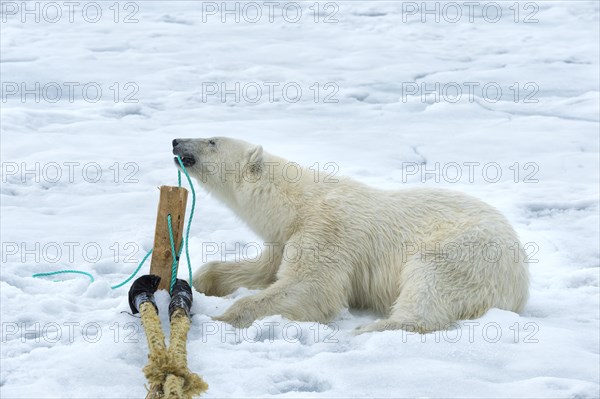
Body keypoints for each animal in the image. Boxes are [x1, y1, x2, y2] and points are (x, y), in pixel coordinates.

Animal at [171, 138, 528, 334]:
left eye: (212, 141)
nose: (176, 141)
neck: (298, 202)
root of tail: (521, 278)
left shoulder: (327, 229)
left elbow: (311, 285)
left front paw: (220, 318)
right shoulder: (285, 237)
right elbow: (262, 270)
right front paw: (201, 281)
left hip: (467, 251)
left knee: (430, 281)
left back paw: (370, 328)